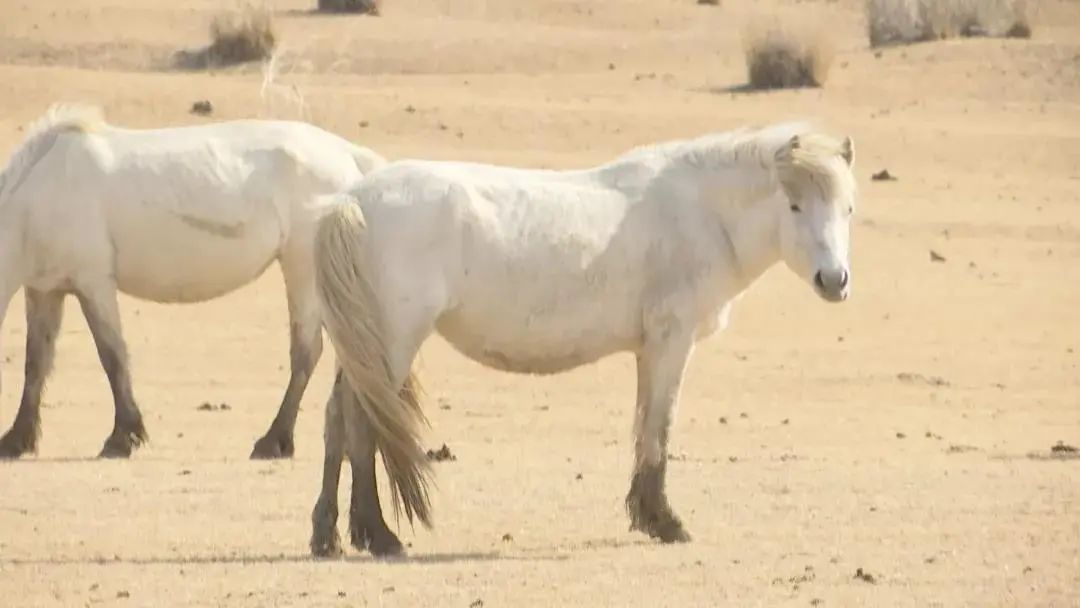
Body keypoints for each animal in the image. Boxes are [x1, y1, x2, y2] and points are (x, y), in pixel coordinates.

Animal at [0, 104, 386, 460]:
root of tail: (349, 154)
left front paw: (122, 437)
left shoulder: (94, 284)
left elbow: (112, 356)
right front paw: (16, 439)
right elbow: (36, 362)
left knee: (307, 351)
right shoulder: (44, 290)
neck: (39, 193)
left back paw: (274, 440)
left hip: (303, 269)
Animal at [306, 118, 859, 557]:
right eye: (794, 205)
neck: (700, 212)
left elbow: (645, 427)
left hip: (360, 346)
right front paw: (665, 522)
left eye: (848, 208)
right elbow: (659, 428)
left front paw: (647, 514)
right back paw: (377, 534)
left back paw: (329, 535)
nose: (834, 280)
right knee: (360, 422)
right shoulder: (670, 342)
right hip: (393, 343)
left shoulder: (649, 350)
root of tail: (349, 202)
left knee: (337, 420)